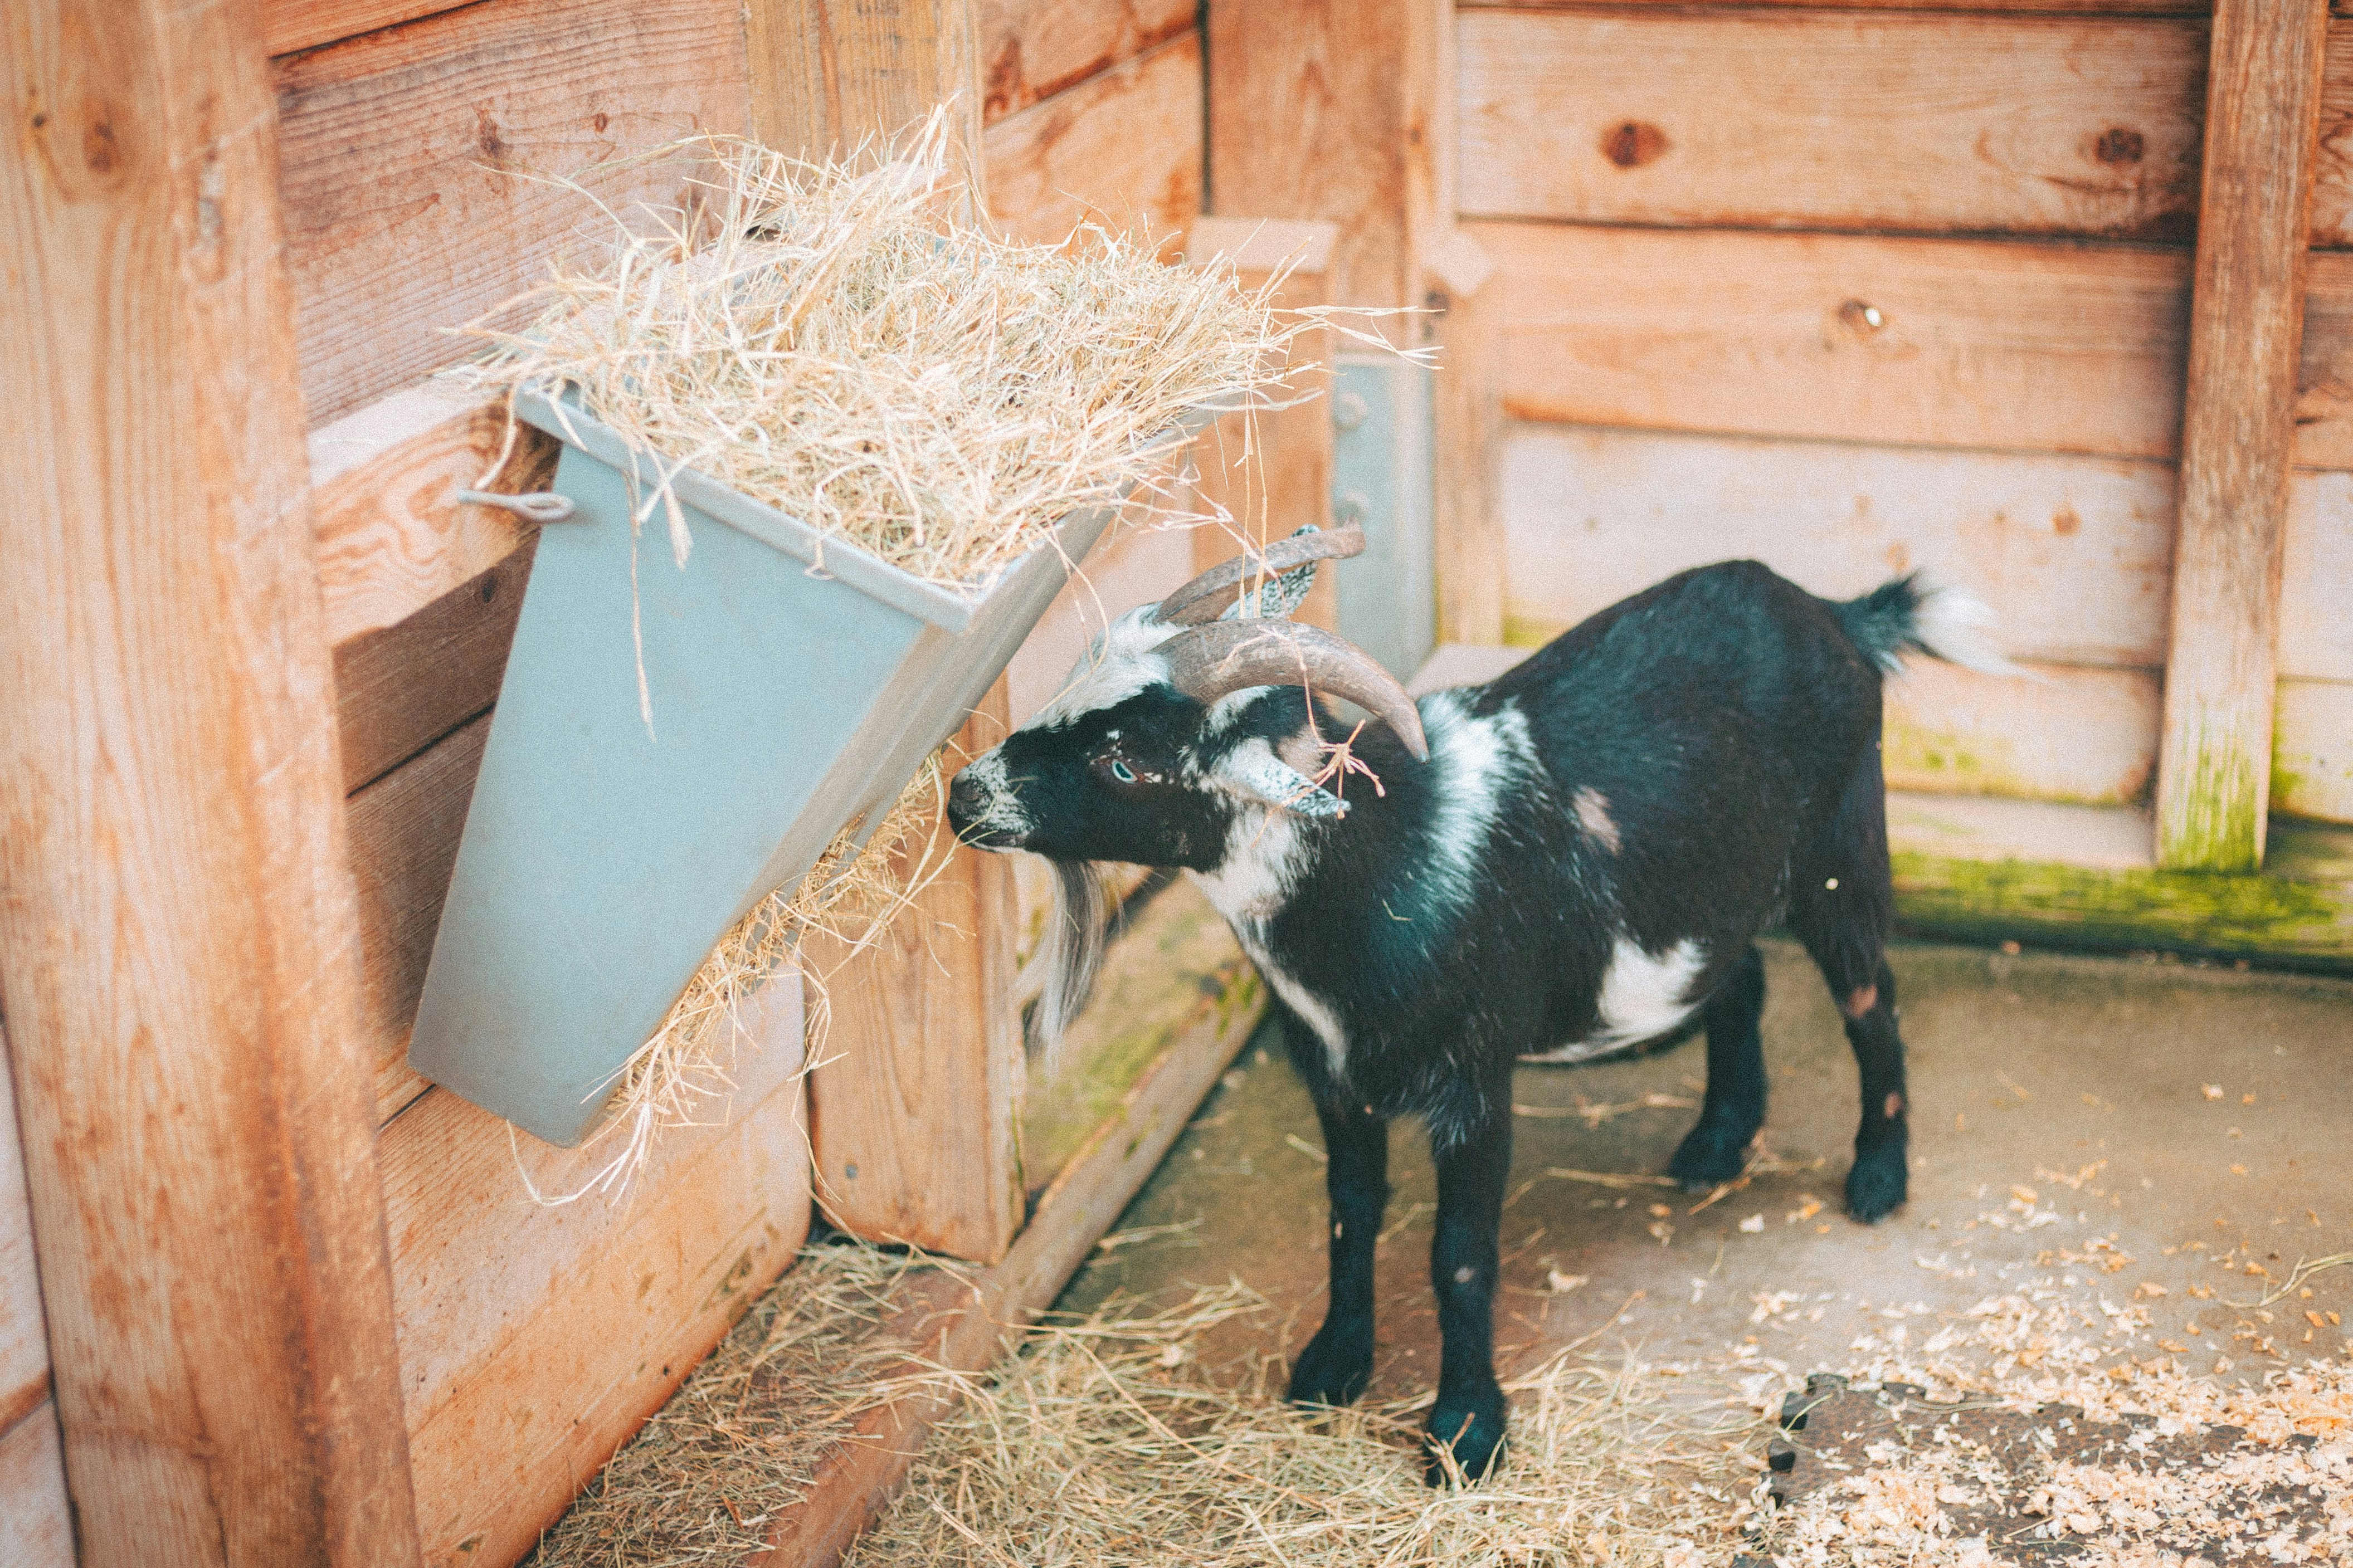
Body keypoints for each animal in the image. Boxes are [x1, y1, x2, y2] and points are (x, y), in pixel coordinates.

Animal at [946, 526, 2009, 1483]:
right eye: (1077, 673)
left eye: (1124, 762)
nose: (963, 796)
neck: (1379, 864)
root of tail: (1833, 613)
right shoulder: (1332, 1073)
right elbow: (1349, 1216)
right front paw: (1332, 1365)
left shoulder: (1473, 1082)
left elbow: (1458, 1256)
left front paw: (1464, 1431)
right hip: (1707, 889)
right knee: (1738, 976)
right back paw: (1715, 1143)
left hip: (1841, 850)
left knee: (1870, 1001)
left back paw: (1876, 1176)